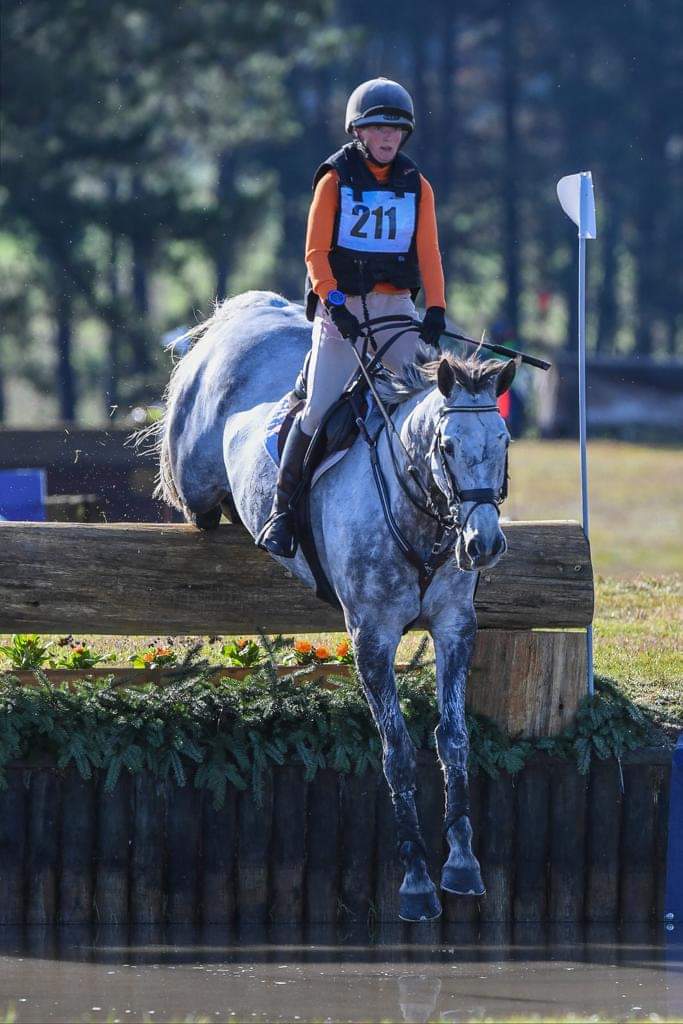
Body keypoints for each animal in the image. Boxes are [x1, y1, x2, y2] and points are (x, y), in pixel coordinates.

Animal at [148, 289, 515, 922]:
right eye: (447, 447)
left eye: (505, 445)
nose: (484, 544)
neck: (419, 509)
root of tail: (245, 312)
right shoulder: (371, 637)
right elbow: (397, 750)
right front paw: (416, 878)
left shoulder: (454, 628)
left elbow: (454, 737)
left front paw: (462, 863)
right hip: (194, 473)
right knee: (204, 501)